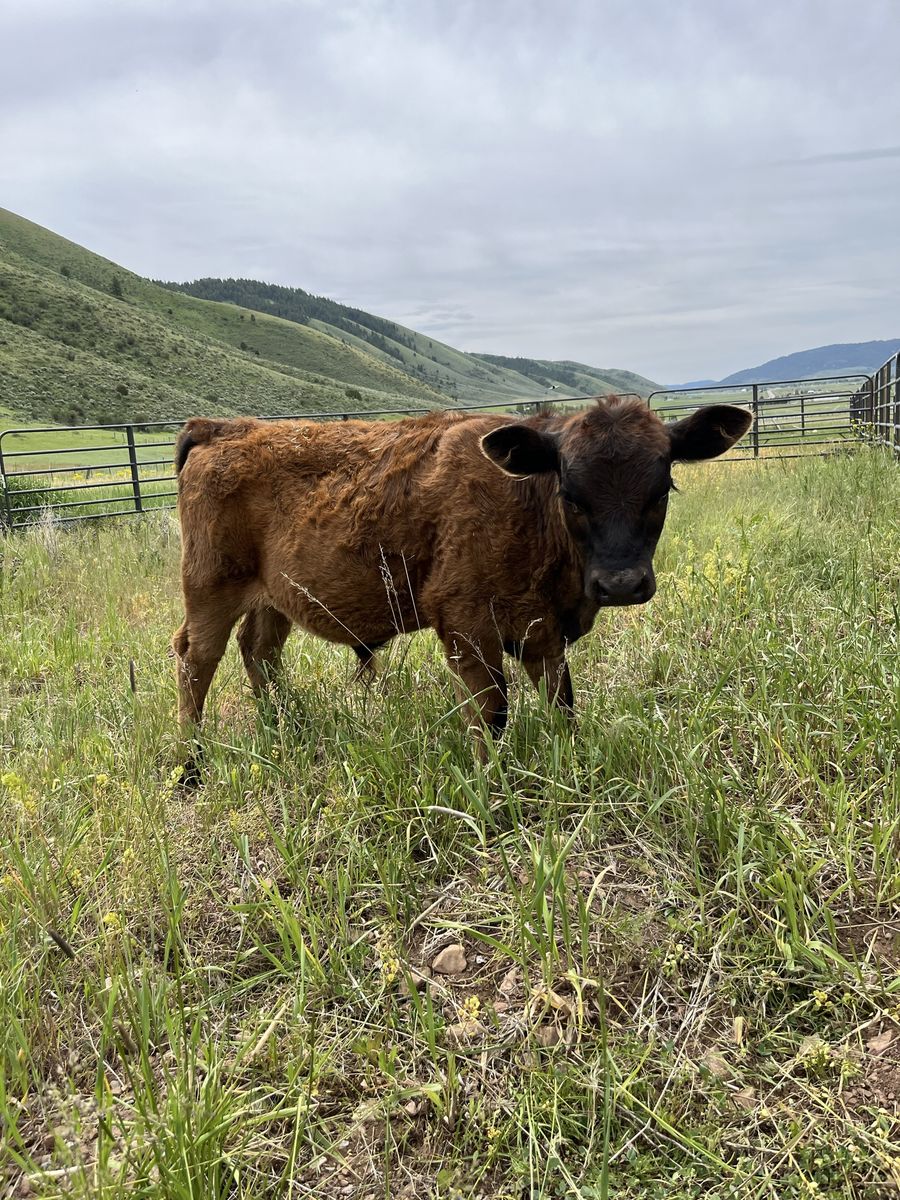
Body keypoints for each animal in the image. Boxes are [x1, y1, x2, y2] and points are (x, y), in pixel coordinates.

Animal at [172, 397, 751, 777]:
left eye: (662, 489)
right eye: (571, 494)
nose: (621, 583)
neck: (525, 504)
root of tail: (220, 428)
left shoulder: (544, 635)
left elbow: (562, 704)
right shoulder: (469, 630)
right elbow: (492, 713)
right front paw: (489, 787)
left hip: (273, 601)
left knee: (258, 651)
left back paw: (287, 727)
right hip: (209, 592)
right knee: (195, 661)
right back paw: (192, 762)